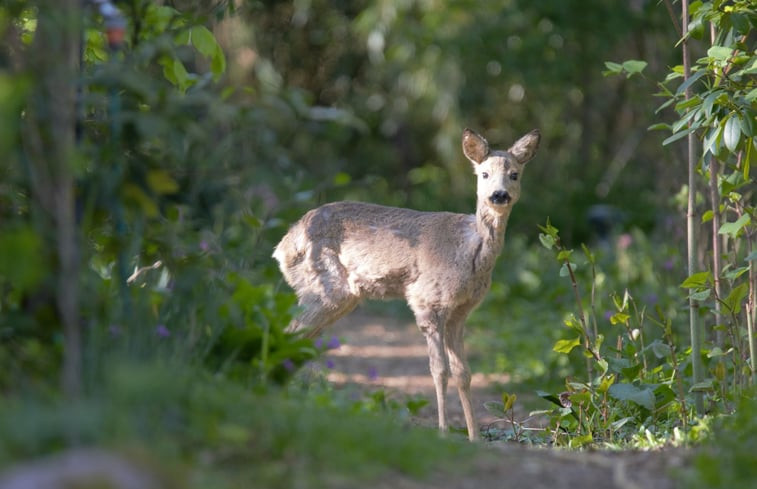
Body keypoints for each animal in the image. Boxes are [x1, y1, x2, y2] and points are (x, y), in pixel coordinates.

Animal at [274, 127, 540, 438]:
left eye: (514, 174)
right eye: (484, 174)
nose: (499, 195)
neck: (470, 250)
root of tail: (283, 247)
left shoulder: (460, 311)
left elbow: (463, 372)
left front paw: (474, 436)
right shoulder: (427, 299)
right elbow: (439, 370)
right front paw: (443, 432)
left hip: (338, 298)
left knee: (299, 339)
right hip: (324, 288)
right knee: (288, 331)